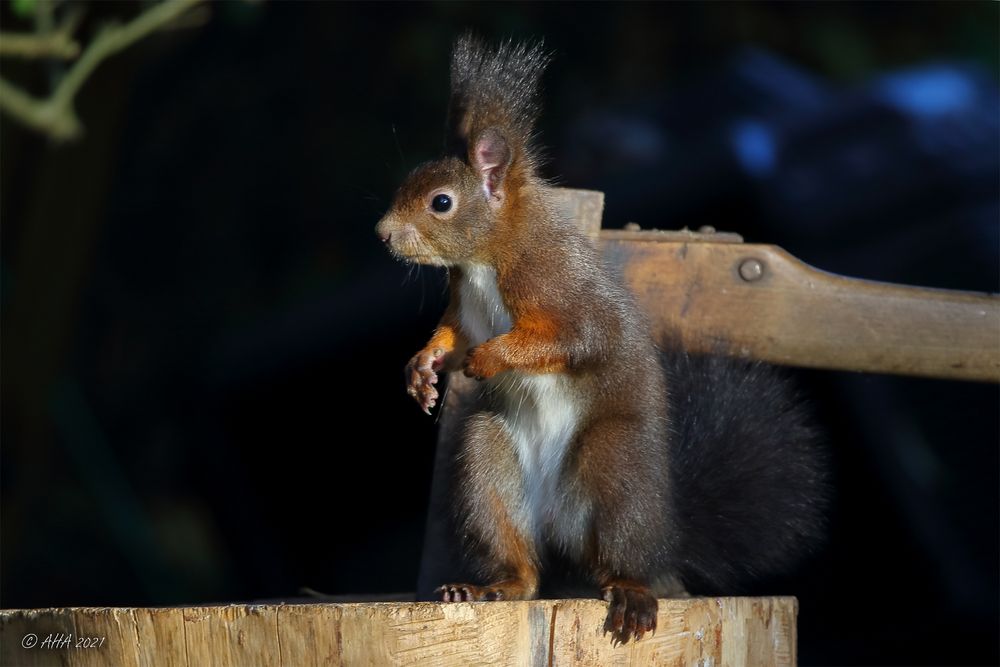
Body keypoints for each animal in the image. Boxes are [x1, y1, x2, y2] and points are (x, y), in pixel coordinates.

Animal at [376, 35, 828, 640]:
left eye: (441, 202)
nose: (382, 234)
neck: (483, 260)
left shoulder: (554, 285)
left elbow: (574, 340)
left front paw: (491, 358)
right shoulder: (464, 308)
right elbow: (452, 337)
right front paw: (422, 369)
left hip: (615, 467)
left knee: (619, 556)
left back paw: (631, 593)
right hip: (489, 463)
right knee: (526, 570)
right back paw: (491, 586)